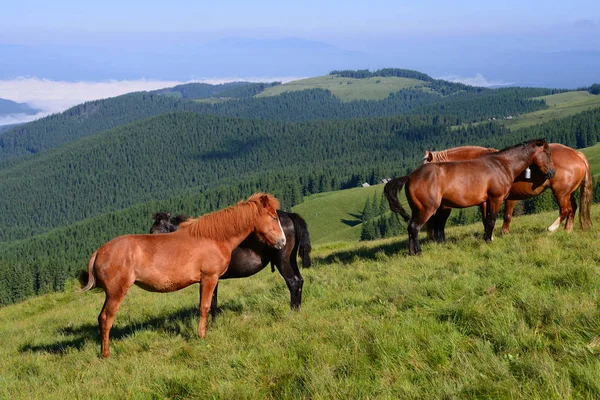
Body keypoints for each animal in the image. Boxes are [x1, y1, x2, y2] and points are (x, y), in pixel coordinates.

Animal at [79, 192, 286, 358]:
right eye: (273, 217)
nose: (282, 241)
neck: (213, 238)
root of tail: (99, 251)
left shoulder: (206, 281)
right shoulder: (209, 278)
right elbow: (205, 307)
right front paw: (201, 336)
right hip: (116, 292)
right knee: (106, 319)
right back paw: (105, 354)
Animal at [150, 209, 312, 318]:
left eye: (161, 229)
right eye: (151, 231)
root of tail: (288, 214)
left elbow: (210, 301)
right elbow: (212, 301)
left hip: (282, 260)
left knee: (292, 282)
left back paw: (292, 311)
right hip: (291, 259)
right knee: (299, 280)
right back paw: (298, 309)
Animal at [386, 139, 556, 255]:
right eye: (547, 154)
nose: (552, 173)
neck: (501, 164)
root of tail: (410, 176)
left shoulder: (486, 201)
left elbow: (487, 221)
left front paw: (487, 238)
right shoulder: (495, 199)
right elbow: (491, 221)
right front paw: (488, 241)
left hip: (418, 209)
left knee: (410, 228)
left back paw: (411, 253)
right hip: (426, 209)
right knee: (414, 227)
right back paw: (418, 252)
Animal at [424, 144, 592, 238]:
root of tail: (576, 154)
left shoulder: (487, 201)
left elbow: (489, 218)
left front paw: (491, 235)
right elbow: (502, 216)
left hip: (561, 193)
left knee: (566, 210)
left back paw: (552, 228)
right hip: (568, 193)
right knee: (573, 208)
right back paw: (568, 230)